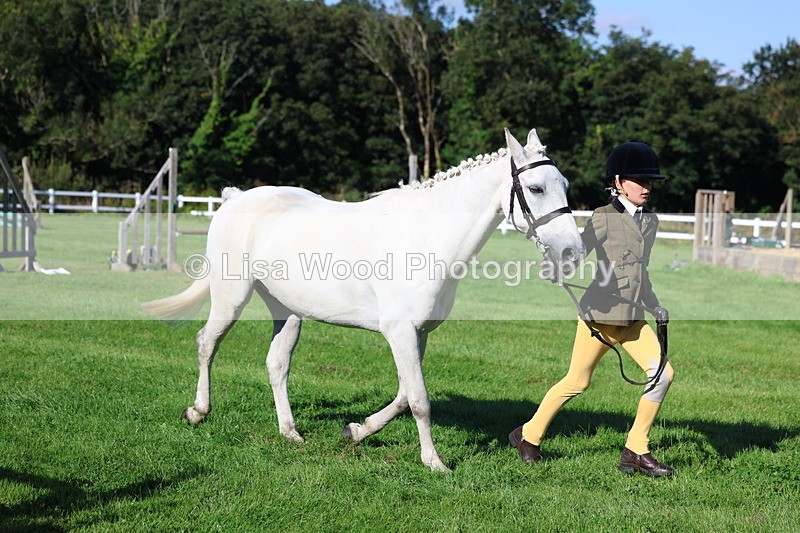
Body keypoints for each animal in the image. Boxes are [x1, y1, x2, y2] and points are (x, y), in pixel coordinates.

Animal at [142, 128, 585, 471]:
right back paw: (197, 411)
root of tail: (235, 199)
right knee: (207, 343)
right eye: (535, 188)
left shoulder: (418, 334)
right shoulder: (400, 332)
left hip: (288, 311)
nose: (572, 253)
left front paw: (355, 431)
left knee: (277, 363)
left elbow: (405, 395)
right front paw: (434, 462)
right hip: (231, 296)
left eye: (565, 186)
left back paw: (290, 432)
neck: (428, 236)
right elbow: (420, 400)